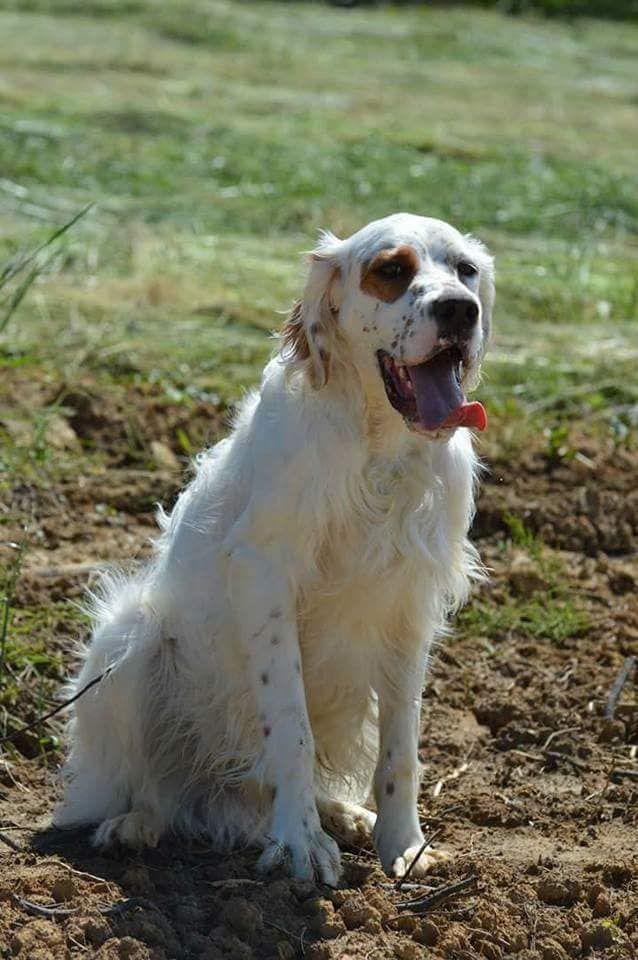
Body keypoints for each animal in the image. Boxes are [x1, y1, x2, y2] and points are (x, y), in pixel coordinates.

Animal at [55, 214, 496, 880]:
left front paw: (402, 842)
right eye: (391, 270)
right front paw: (300, 844)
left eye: (466, 271)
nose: (459, 310)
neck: (380, 451)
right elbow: (291, 730)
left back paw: (345, 815)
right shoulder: (266, 578)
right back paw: (136, 825)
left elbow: (401, 748)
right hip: (128, 637)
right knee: (151, 791)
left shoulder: (409, 607)